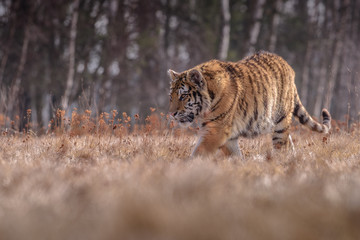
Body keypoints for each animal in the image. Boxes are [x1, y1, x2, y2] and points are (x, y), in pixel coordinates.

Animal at [169, 51, 332, 157]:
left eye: (183, 96)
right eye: (171, 96)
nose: (172, 114)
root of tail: (288, 66)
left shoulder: (216, 130)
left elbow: (198, 152)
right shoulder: (228, 136)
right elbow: (235, 156)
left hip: (281, 122)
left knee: (282, 146)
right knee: (290, 143)